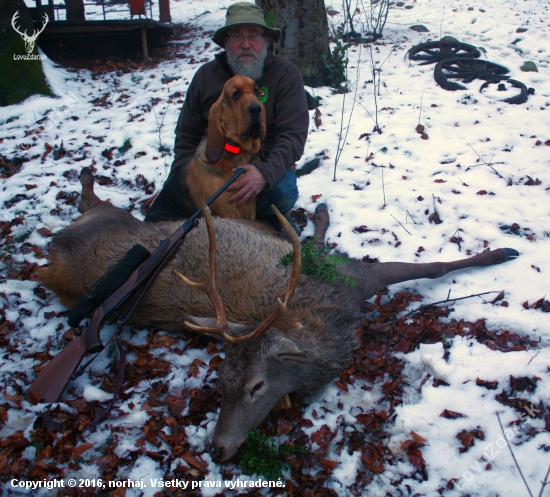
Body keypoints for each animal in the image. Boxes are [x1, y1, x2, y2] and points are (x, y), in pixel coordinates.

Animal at [38, 168, 520, 462]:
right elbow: (423, 264)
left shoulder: (346, 273)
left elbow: (432, 266)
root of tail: (53, 260)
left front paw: (502, 252)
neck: (329, 322)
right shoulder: (344, 274)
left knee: (89, 204)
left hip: (111, 222)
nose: (217, 450)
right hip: (108, 222)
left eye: (256, 386)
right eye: (220, 382)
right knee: (88, 205)